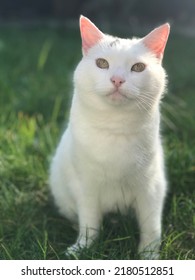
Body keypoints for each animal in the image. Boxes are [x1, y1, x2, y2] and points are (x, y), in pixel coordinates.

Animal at [49, 15, 170, 260]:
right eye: (102, 63)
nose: (117, 80)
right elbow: (90, 224)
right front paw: (81, 249)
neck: (115, 129)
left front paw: (149, 256)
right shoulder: (85, 186)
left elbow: (151, 227)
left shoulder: (152, 188)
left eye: (138, 67)